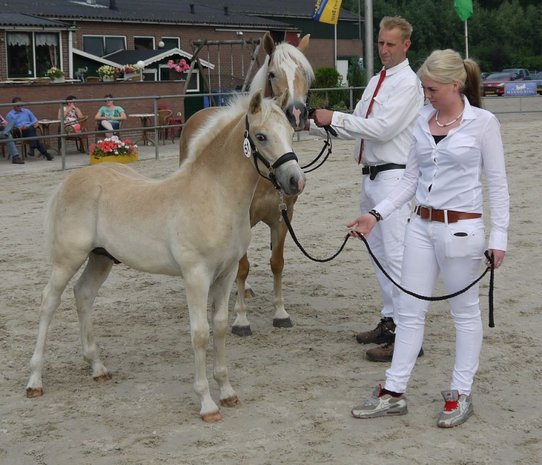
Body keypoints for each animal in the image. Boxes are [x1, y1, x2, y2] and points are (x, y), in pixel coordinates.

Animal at [26, 89, 306, 420]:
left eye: (290, 131)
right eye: (261, 136)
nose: (295, 181)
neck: (214, 196)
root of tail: (69, 181)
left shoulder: (225, 275)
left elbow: (220, 327)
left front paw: (227, 392)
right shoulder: (196, 276)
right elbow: (200, 334)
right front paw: (207, 404)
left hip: (100, 258)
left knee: (83, 295)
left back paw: (97, 367)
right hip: (67, 259)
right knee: (49, 302)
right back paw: (35, 380)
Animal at [181, 33, 314, 338]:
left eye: (304, 74)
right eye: (273, 73)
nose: (297, 113)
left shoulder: (282, 218)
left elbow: (276, 263)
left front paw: (280, 313)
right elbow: (242, 268)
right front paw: (241, 319)